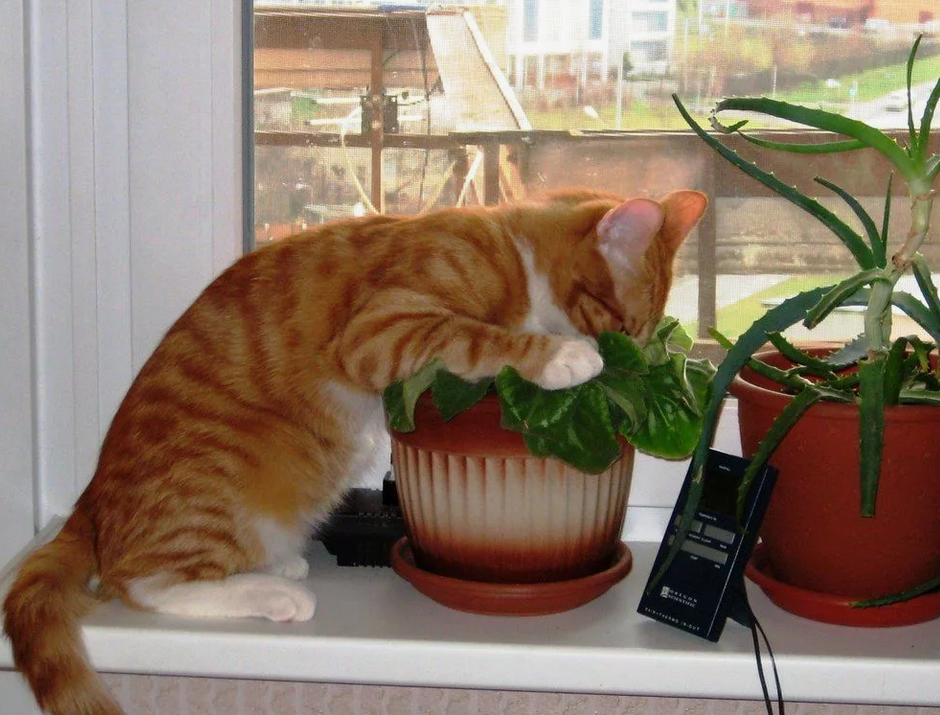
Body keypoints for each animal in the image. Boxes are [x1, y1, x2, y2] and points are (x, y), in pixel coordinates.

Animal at [3, 187, 706, 715]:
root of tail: (91, 497)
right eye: (619, 330)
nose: (637, 359)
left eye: (646, 335)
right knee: (140, 583)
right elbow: (477, 335)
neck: (511, 249)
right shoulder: (379, 331)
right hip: (229, 472)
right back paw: (272, 594)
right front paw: (562, 357)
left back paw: (276, 568)